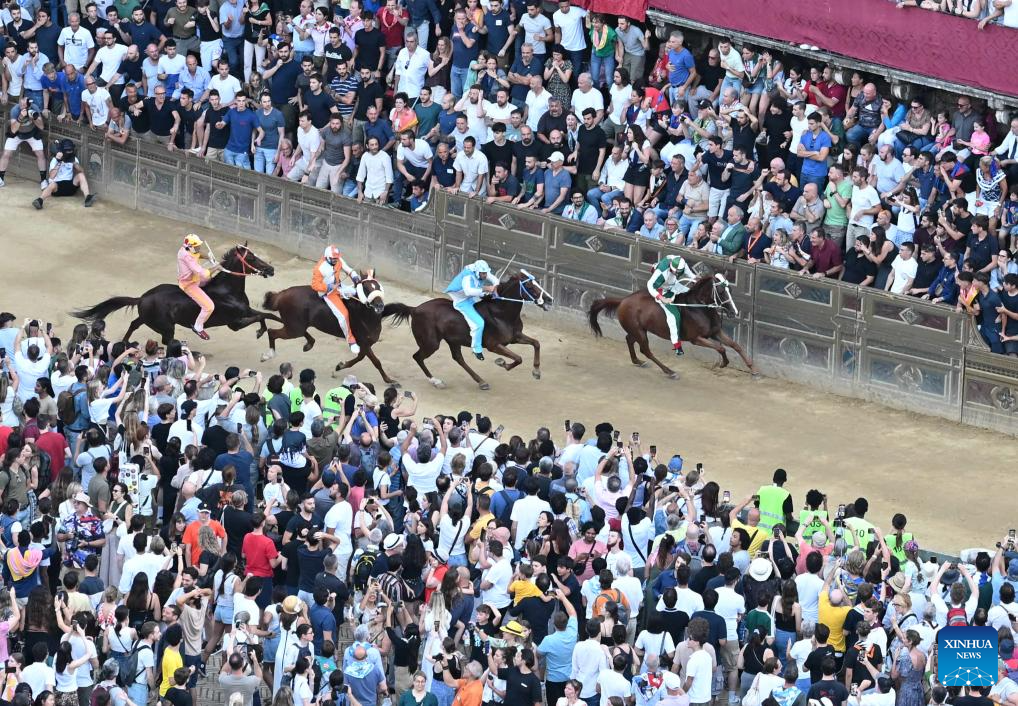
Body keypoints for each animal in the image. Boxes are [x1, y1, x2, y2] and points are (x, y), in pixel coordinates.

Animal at [71, 245, 280, 347]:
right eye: (251, 258)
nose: (271, 269)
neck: (228, 291)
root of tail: (141, 298)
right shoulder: (235, 323)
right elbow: (262, 316)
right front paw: (261, 331)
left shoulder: (246, 310)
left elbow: (267, 315)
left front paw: (267, 327)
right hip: (165, 325)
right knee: (167, 340)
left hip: (148, 318)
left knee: (134, 324)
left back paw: (125, 343)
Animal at [258, 272, 401, 384]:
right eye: (366, 289)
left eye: (378, 286)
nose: (380, 306)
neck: (365, 315)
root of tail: (281, 294)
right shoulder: (364, 342)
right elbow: (376, 361)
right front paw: (390, 380)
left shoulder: (366, 344)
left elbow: (361, 357)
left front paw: (340, 366)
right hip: (294, 329)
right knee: (272, 332)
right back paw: (268, 355)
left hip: (295, 326)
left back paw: (308, 344)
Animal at [382, 270, 549, 392]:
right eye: (530, 286)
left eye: (538, 283)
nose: (549, 299)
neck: (501, 313)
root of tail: (414, 309)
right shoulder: (494, 345)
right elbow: (518, 358)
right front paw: (502, 363)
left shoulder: (515, 337)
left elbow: (536, 343)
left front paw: (536, 371)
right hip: (431, 343)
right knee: (417, 357)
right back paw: (436, 381)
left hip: (453, 340)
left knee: (458, 358)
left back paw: (481, 381)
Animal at [590, 274, 757, 382]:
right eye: (721, 291)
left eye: (730, 290)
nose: (734, 312)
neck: (699, 308)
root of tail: (623, 300)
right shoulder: (696, 338)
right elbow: (720, 348)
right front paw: (720, 364)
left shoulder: (716, 332)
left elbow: (736, 346)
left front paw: (753, 370)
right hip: (639, 332)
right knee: (646, 350)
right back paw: (670, 371)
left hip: (638, 330)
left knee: (629, 340)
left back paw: (638, 361)